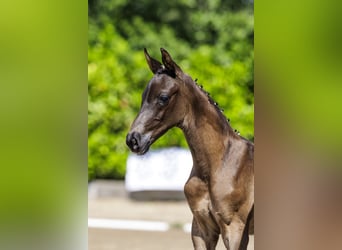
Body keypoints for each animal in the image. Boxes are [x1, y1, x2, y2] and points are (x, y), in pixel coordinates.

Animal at [126, 47, 254, 249]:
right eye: (143, 97)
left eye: (163, 97)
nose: (133, 140)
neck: (216, 165)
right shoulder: (202, 229)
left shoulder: (235, 230)